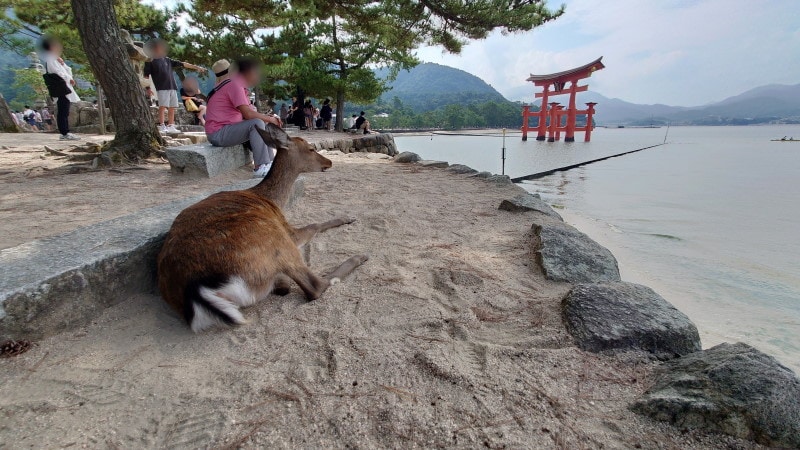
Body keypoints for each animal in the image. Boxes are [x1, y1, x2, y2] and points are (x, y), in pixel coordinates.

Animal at [157, 124, 368, 332]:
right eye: (310, 148)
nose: (329, 162)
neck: (273, 200)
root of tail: (196, 290)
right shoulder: (288, 229)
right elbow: (315, 225)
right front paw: (347, 217)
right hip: (275, 240)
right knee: (314, 285)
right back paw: (359, 257)